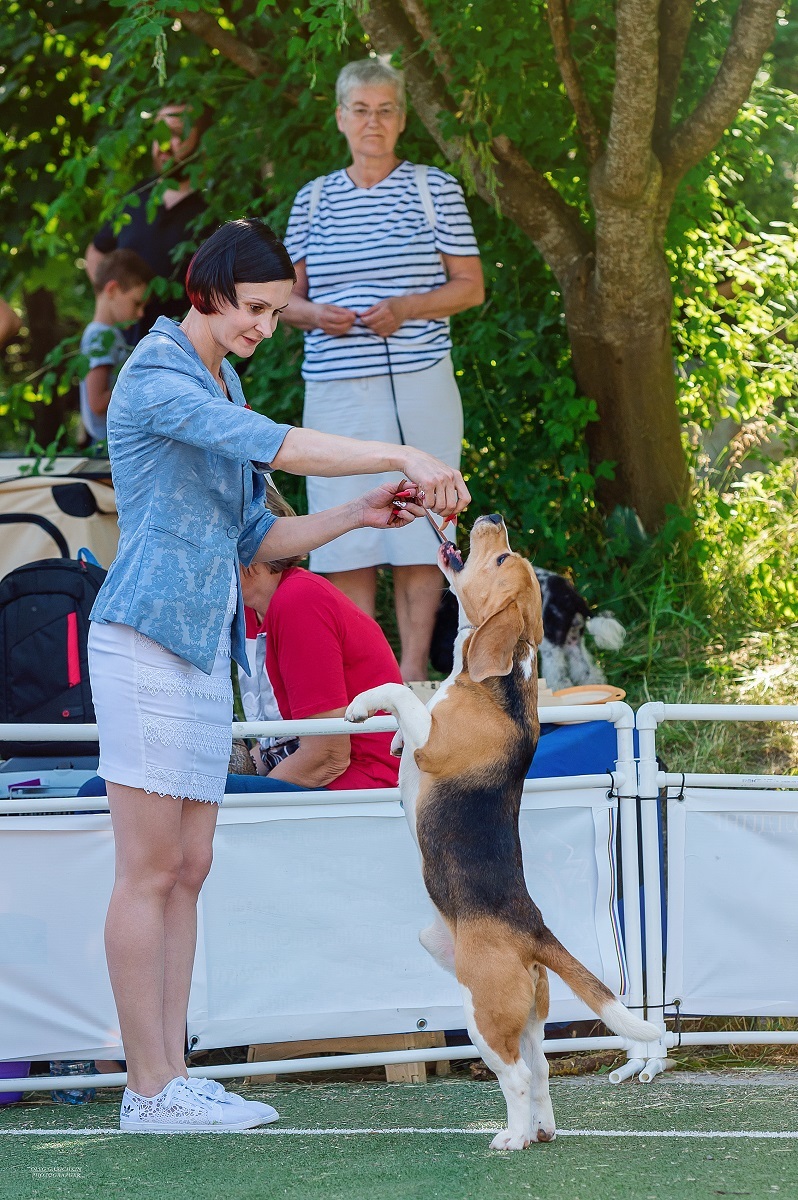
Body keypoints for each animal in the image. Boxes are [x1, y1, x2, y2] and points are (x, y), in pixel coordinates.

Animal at [429, 566, 624, 691]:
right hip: (573, 641)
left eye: (442, 626)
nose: (437, 663)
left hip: (551, 646)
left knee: (560, 677)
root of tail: (571, 596)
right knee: (588, 671)